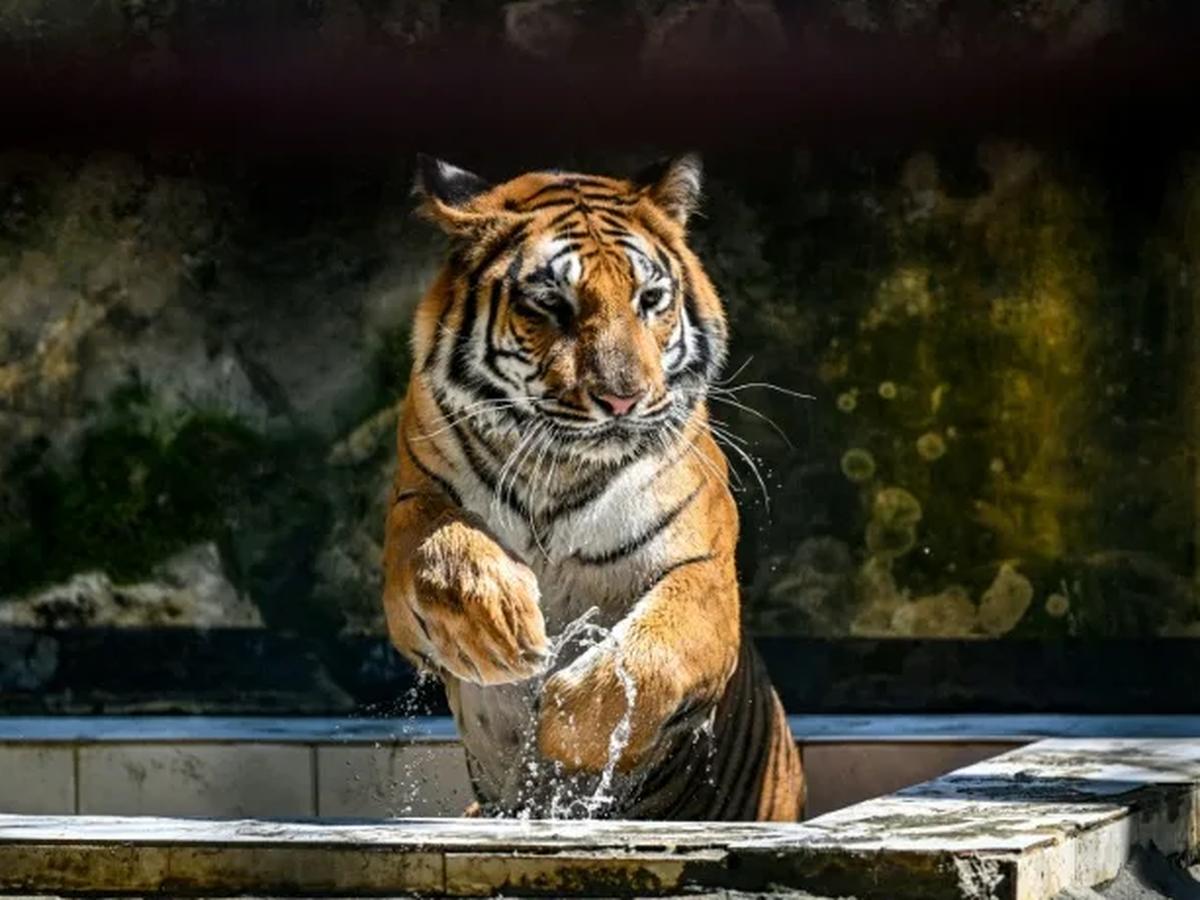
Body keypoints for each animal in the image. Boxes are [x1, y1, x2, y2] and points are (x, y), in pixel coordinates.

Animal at [380, 153, 805, 822]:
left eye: (650, 299)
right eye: (552, 303)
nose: (624, 398)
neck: (557, 468)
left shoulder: (704, 571)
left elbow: (653, 653)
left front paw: (560, 726)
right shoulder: (413, 507)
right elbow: (435, 547)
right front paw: (502, 628)